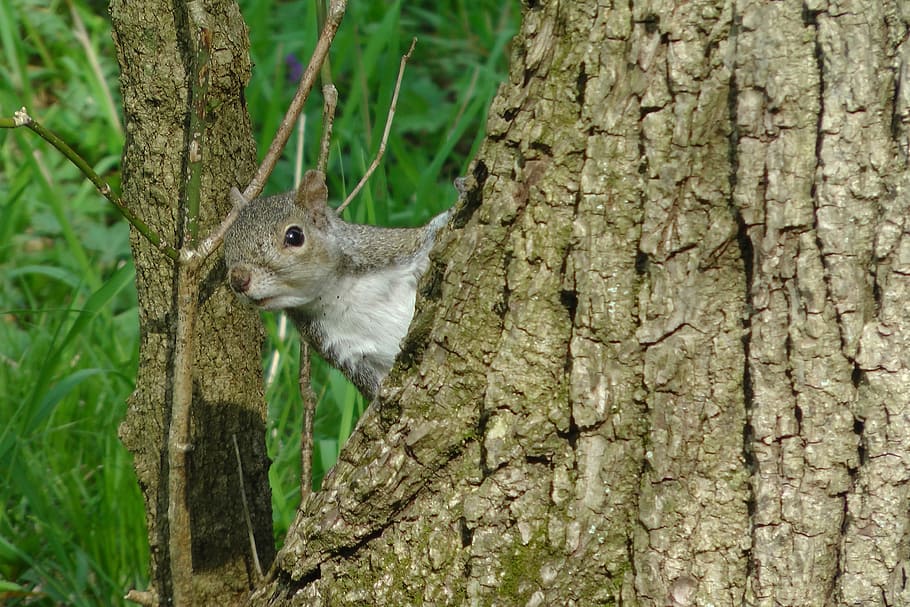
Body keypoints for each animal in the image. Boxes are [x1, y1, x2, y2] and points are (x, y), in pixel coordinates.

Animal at [223, 169, 451, 400]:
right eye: (226, 244)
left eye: (294, 236)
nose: (238, 279)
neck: (338, 292)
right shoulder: (344, 352)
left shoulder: (393, 249)